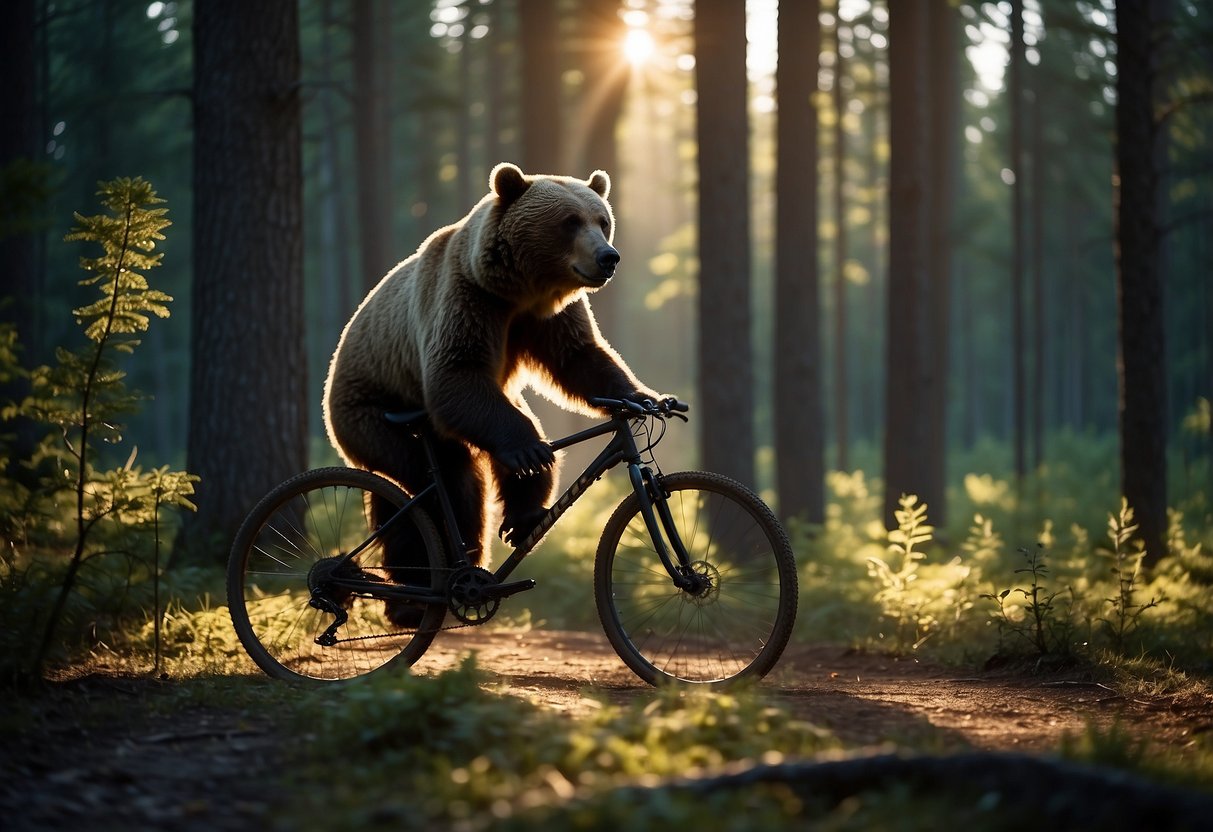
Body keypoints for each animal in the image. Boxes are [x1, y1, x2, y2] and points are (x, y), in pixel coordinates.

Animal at [322, 161, 664, 618]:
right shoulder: (466, 299)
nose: (608, 257)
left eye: (602, 220)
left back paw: (523, 513)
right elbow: (456, 372)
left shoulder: (550, 317)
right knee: (435, 484)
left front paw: (645, 398)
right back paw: (415, 588)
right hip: (372, 412)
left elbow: (581, 359)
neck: (520, 291)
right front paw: (528, 452)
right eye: (569, 221)